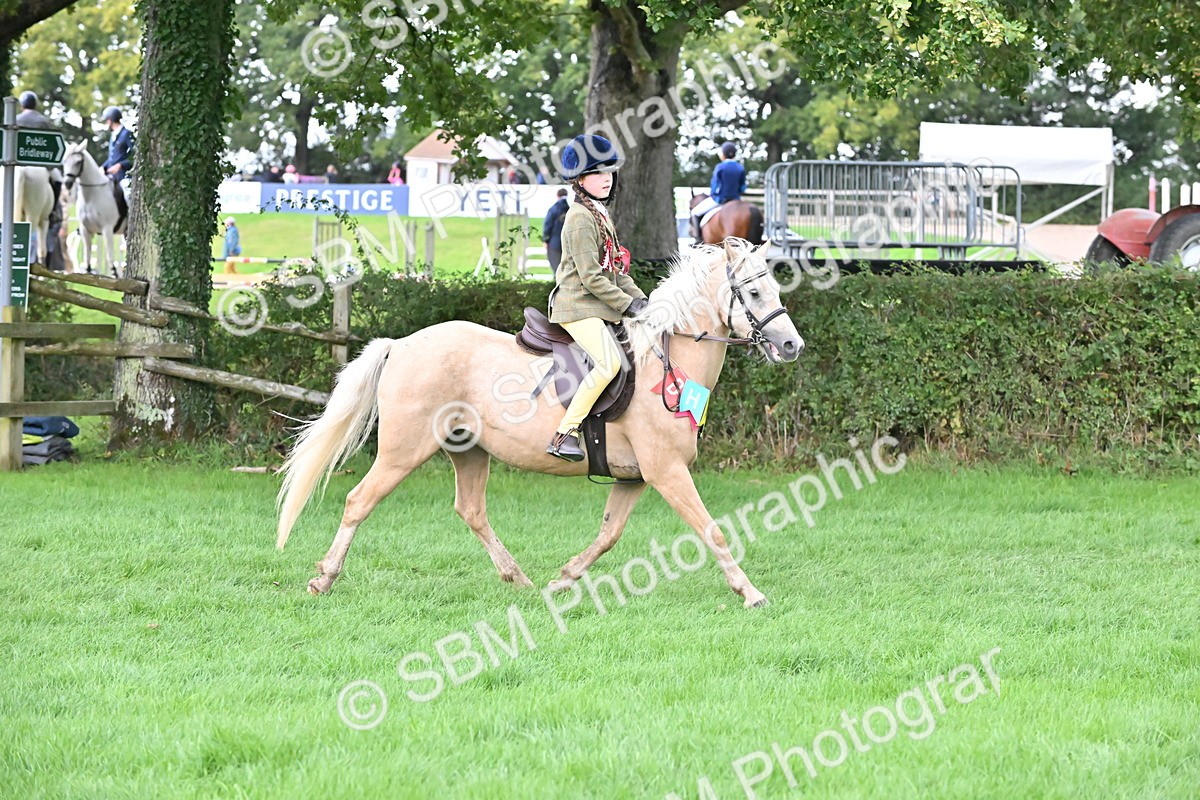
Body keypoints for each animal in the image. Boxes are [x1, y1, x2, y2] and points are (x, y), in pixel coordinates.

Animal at [62, 141, 125, 276]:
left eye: (78, 162)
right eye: (64, 161)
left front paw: (114, 274)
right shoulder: (85, 229)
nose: (67, 183)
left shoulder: (107, 228)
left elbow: (110, 255)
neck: (92, 196)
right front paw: (88, 272)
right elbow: (87, 255)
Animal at [276, 238, 803, 608]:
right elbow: (712, 530)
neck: (665, 361)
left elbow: (608, 534)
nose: (791, 345)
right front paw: (751, 593)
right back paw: (324, 578)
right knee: (359, 501)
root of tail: (402, 344)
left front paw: (564, 579)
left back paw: (519, 579)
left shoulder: (634, 478)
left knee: (471, 510)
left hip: (469, 451)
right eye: (753, 292)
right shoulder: (667, 471)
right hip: (403, 452)